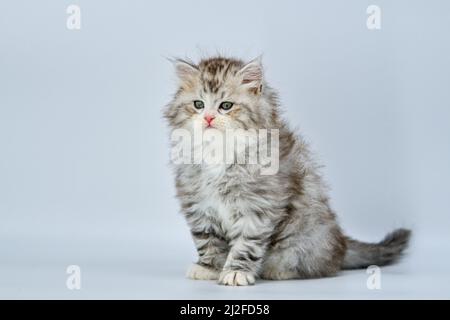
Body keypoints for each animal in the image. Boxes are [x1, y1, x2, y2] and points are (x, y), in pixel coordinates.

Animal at [163, 56, 410, 286]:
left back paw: (280, 271)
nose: (208, 118)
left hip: (304, 239)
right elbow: (208, 240)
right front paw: (209, 267)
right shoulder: (199, 205)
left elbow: (245, 245)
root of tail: (341, 244)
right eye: (198, 104)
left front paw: (236, 272)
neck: (218, 152)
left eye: (226, 106)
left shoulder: (257, 207)